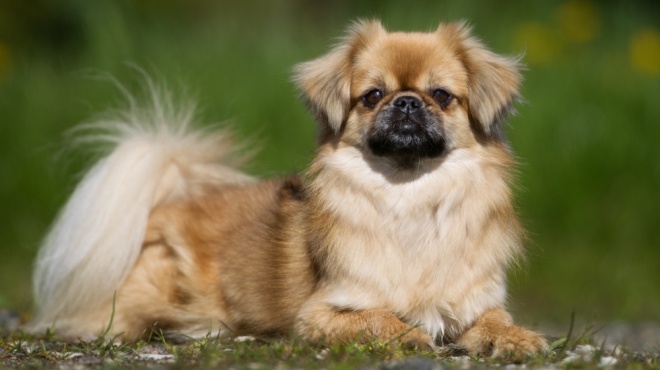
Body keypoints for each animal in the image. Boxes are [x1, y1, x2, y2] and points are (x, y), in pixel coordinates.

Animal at [28, 19, 548, 356]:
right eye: (372, 96)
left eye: (440, 95)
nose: (405, 103)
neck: (409, 194)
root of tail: (168, 202)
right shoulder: (320, 313)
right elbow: (377, 317)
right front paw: (407, 333)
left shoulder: (477, 301)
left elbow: (496, 321)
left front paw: (518, 339)